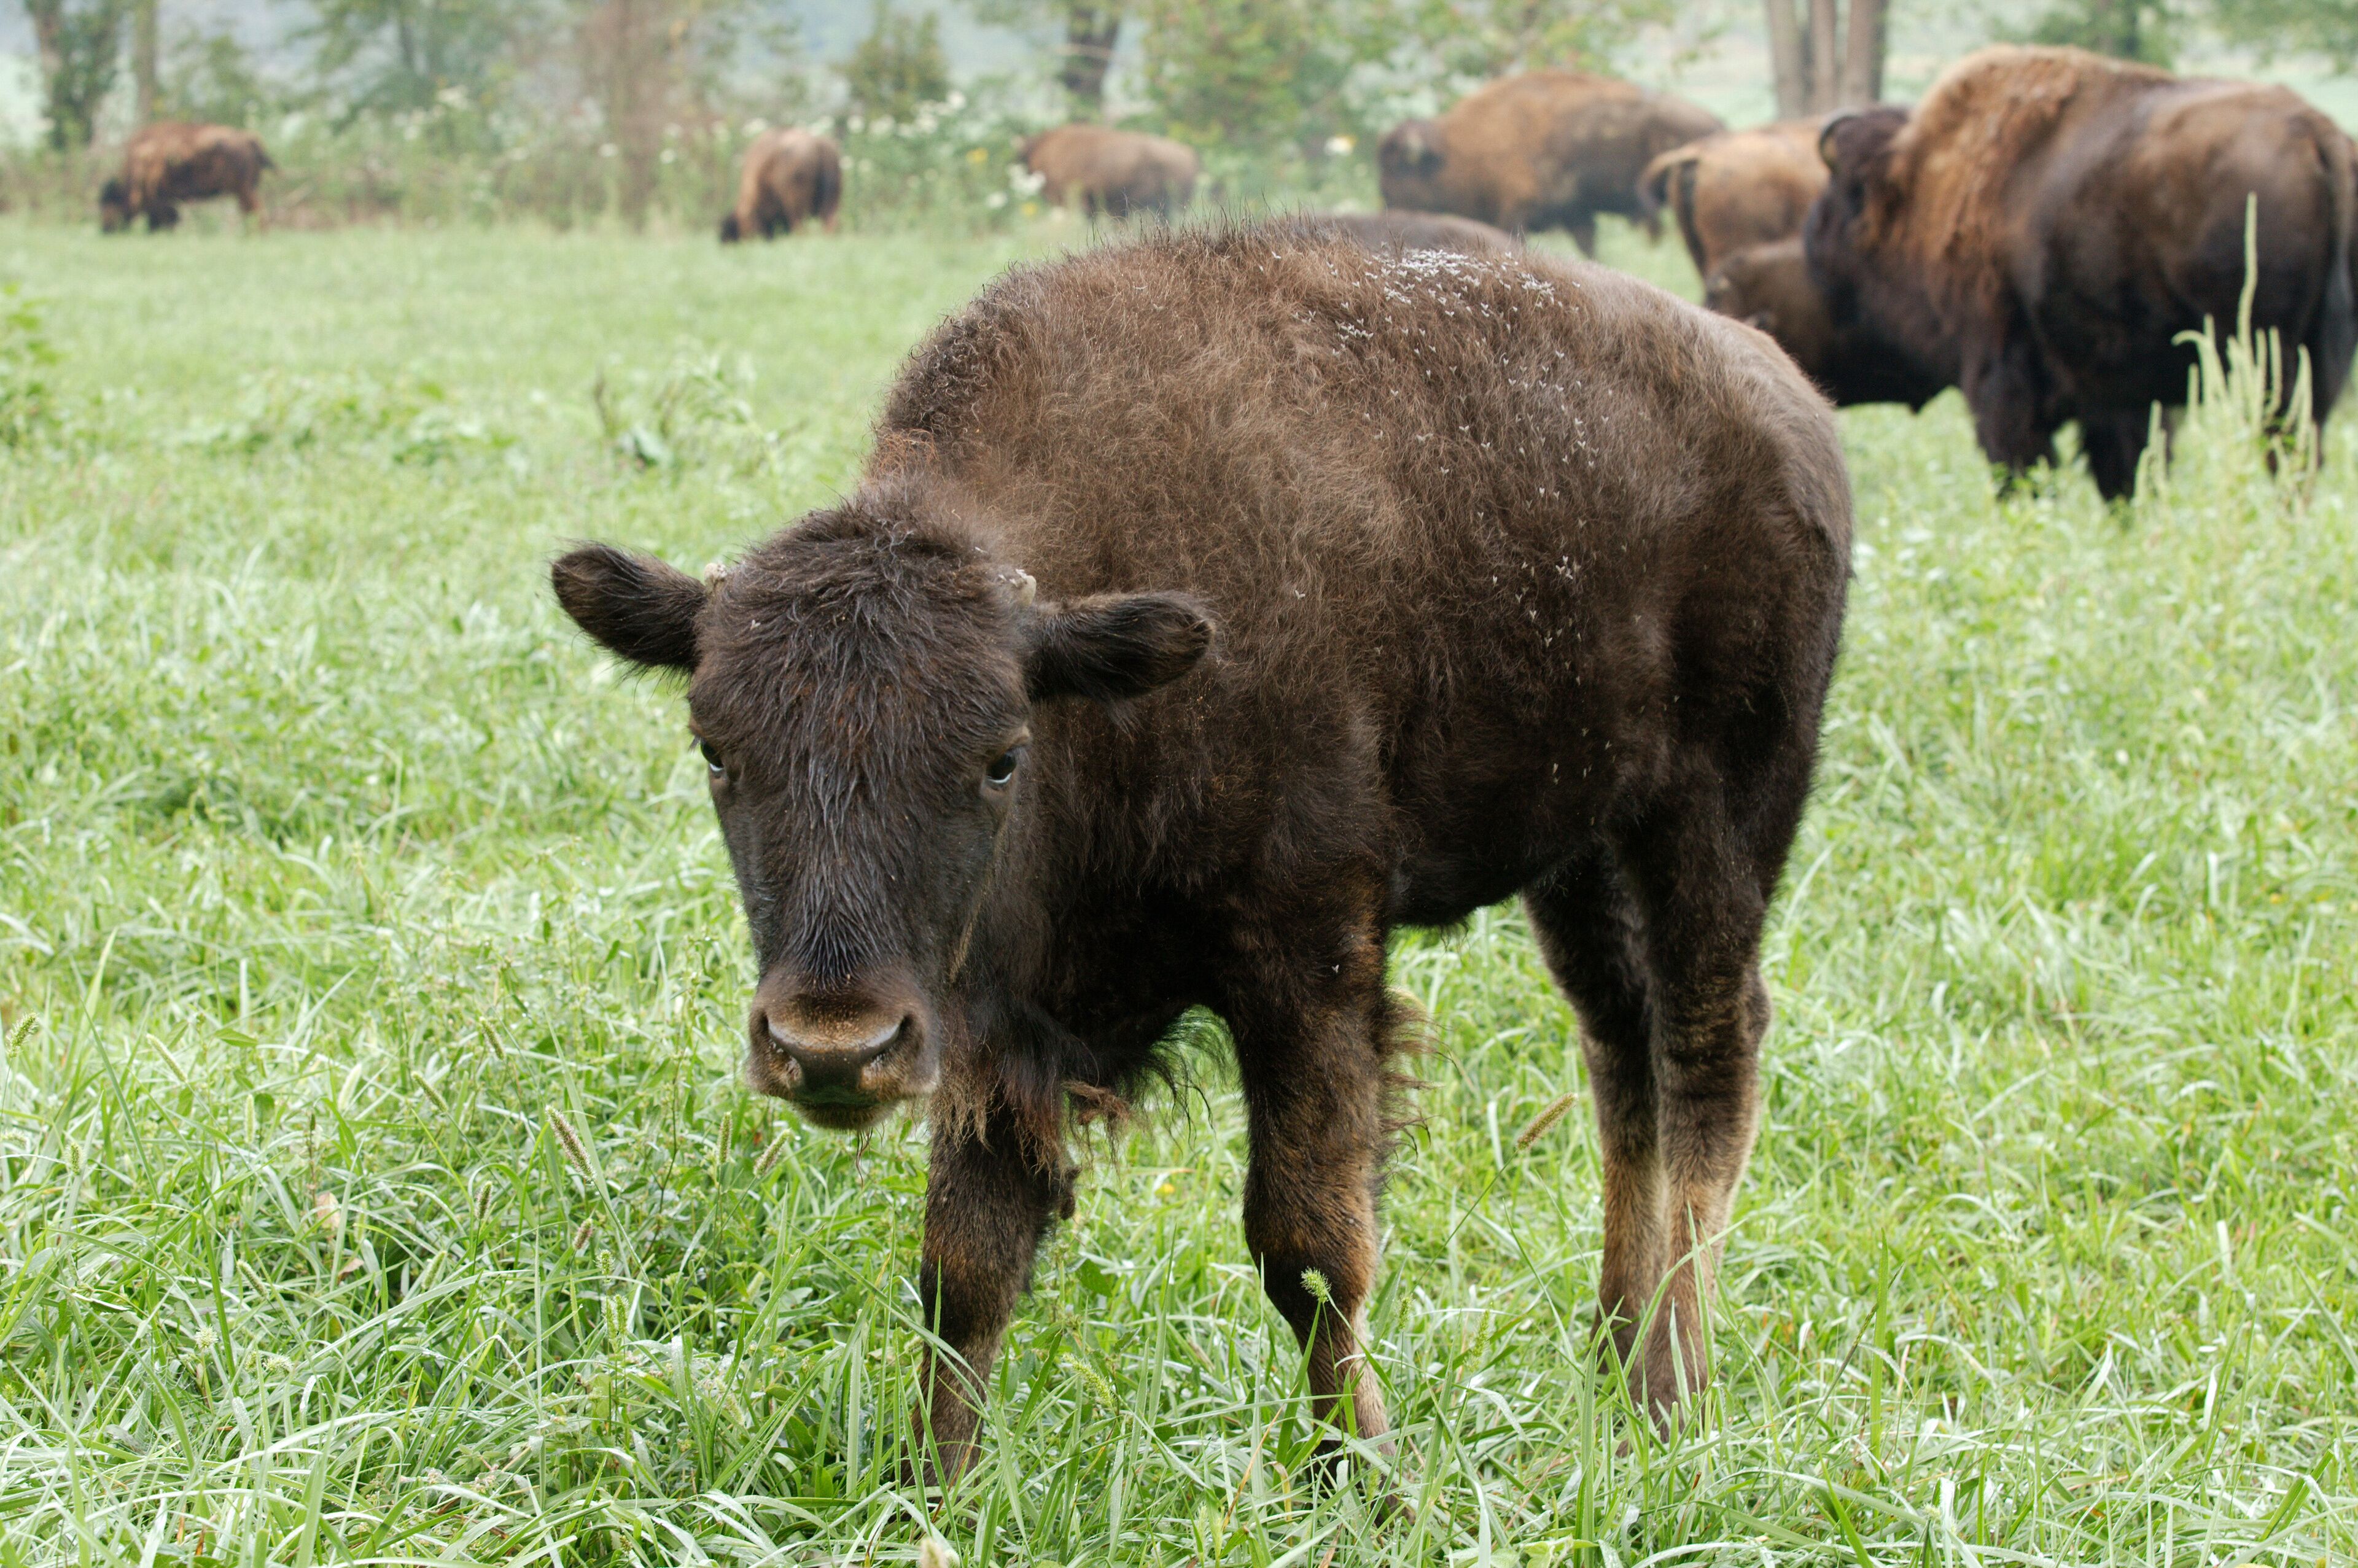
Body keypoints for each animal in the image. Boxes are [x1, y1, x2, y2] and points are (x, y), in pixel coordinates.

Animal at [99, 122, 271, 233]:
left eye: (109, 205)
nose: (105, 230)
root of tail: (249, 139)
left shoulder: (161, 202)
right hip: (245, 190)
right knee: (249, 210)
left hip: (245, 189)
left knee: (255, 209)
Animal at [552, 218, 1852, 1478]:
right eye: (716, 747)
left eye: (1002, 754)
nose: (831, 1046)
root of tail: (1787, 398)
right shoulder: (990, 1021)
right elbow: (963, 1265)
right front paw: (931, 1488)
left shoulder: (1307, 959)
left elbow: (1309, 1248)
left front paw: (1365, 1484)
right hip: (1577, 852)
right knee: (1621, 1052)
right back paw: (1614, 1360)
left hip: (1720, 814)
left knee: (1707, 1054)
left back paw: (1666, 1400)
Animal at [1807, 46, 2357, 498]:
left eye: (1845, 197)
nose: (1813, 249)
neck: (1928, 183)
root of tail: (2319, 134)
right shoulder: (2122, 395)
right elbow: (2126, 471)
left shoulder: (1999, 371)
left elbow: (2022, 464)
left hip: (2269, 359)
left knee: (2287, 450)